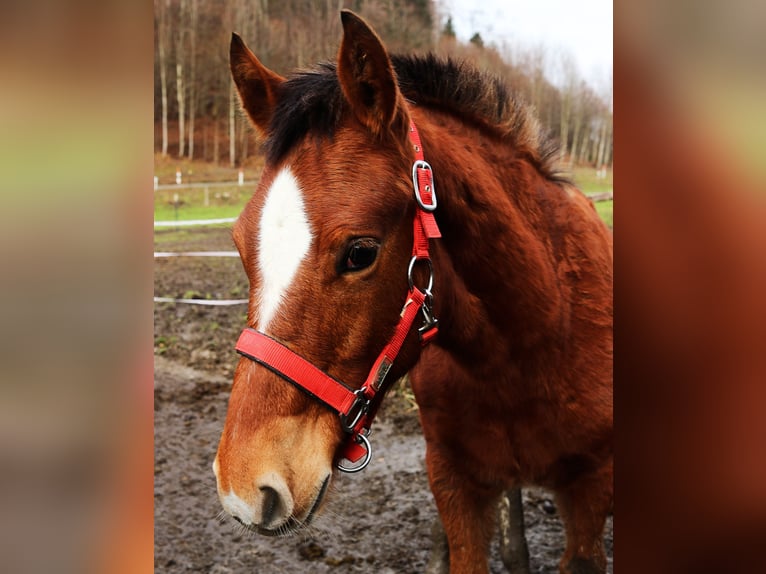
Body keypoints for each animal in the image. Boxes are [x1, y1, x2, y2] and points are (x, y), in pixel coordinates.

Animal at [214, 10, 612, 574]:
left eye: (360, 252)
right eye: (240, 244)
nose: (245, 488)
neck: (540, 335)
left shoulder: (590, 493)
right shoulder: (454, 482)